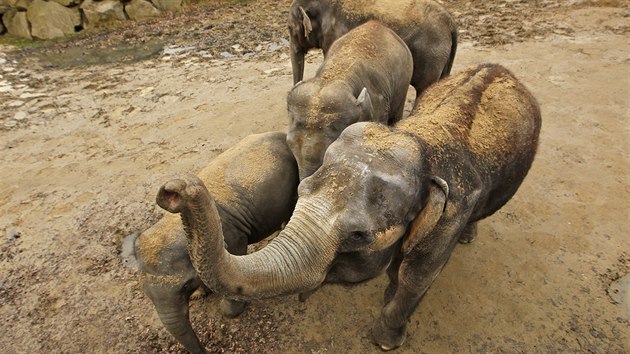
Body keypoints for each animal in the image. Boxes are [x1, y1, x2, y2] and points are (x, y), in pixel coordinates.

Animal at [132, 133, 300, 354]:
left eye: (184, 287)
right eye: (147, 294)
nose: (206, 350)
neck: (171, 225)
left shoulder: (233, 236)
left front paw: (229, 309)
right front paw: (200, 294)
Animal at [157, 65, 544, 350]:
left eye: (358, 236)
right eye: (300, 190)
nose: (172, 191)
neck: (418, 140)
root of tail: (502, 69)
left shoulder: (452, 212)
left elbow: (419, 274)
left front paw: (386, 340)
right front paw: (387, 290)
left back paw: (468, 237)